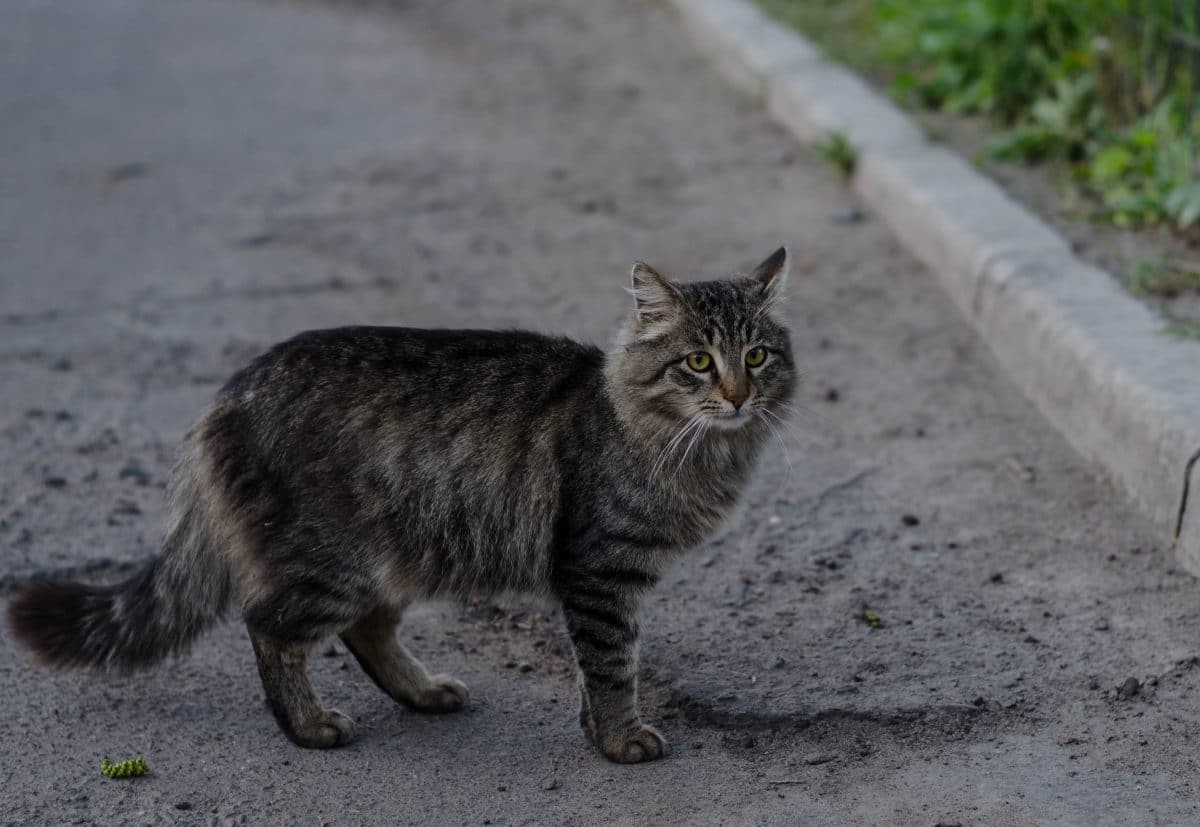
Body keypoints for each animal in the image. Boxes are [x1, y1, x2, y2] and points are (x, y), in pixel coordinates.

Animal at [11, 248, 796, 763]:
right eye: (698, 362)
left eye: (757, 356)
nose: (737, 395)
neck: (691, 449)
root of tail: (225, 396)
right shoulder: (601, 571)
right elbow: (610, 664)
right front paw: (617, 738)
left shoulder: (596, 582)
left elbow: (595, 666)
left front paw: (593, 726)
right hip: (332, 560)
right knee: (269, 625)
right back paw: (310, 726)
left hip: (402, 551)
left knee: (366, 630)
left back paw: (422, 692)